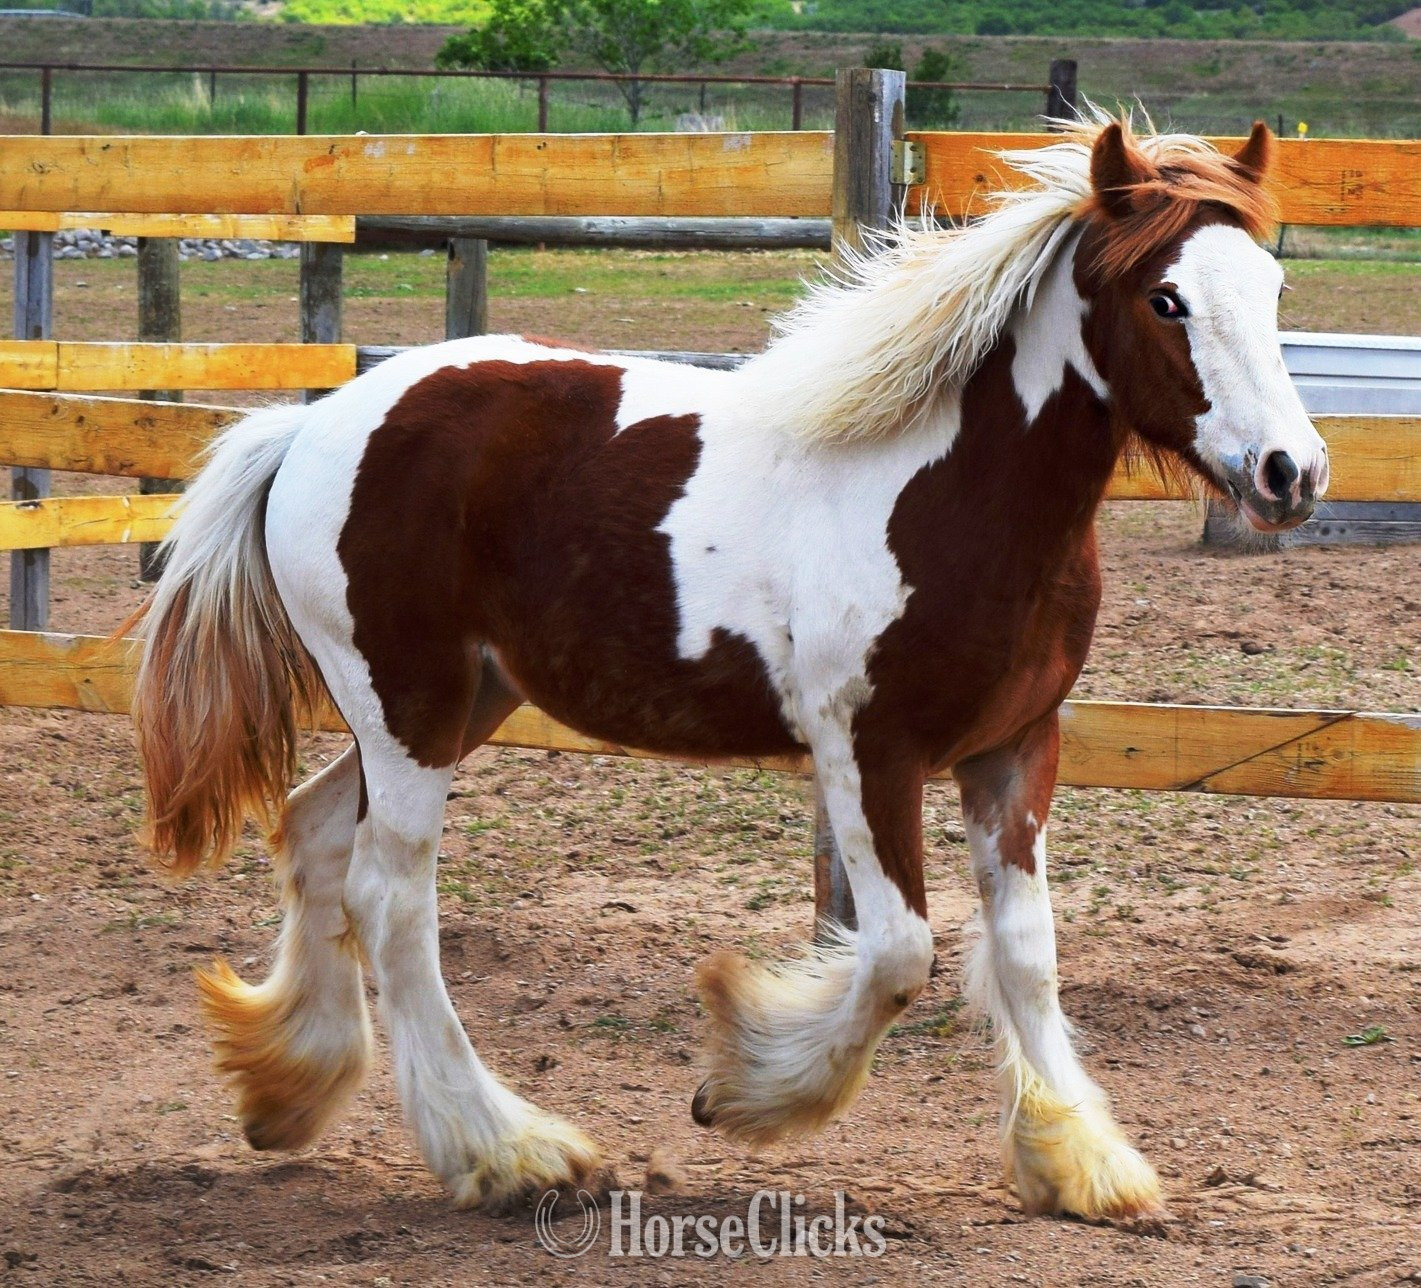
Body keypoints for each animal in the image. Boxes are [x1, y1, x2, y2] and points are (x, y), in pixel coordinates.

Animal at [132, 116, 1327, 1222]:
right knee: (390, 896)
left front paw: (1079, 1162)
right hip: (408, 707)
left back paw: (288, 1092)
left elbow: (1026, 951)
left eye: (1272, 285)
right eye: (1165, 300)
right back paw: (503, 1151)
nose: (1290, 472)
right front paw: (747, 1088)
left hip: (460, 700)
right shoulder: (865, 750)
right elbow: (896, 951)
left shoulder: (1014, 749)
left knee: (315, 832)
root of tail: (309, 427)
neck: (949, 495)